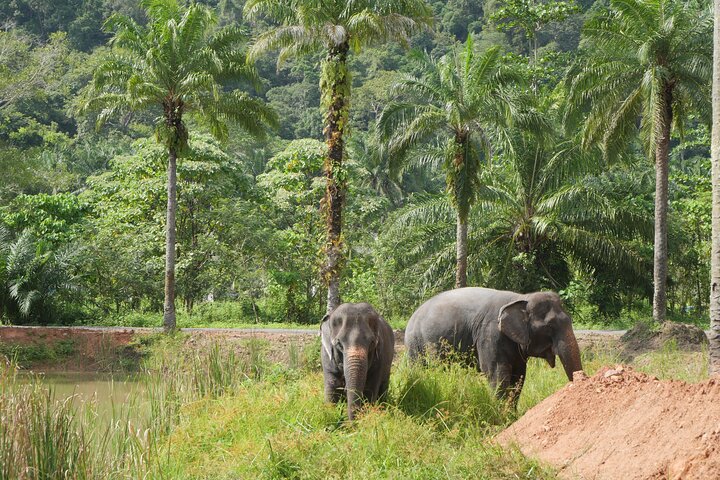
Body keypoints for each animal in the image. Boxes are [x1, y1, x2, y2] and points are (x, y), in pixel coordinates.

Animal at [404, 287, 583, 404]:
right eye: (549, 327)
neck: (522, 297)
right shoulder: (490, 335)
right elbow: (497, 373)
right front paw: (502, 418)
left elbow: (518, 377)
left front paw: (511, 416)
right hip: (416, 343)